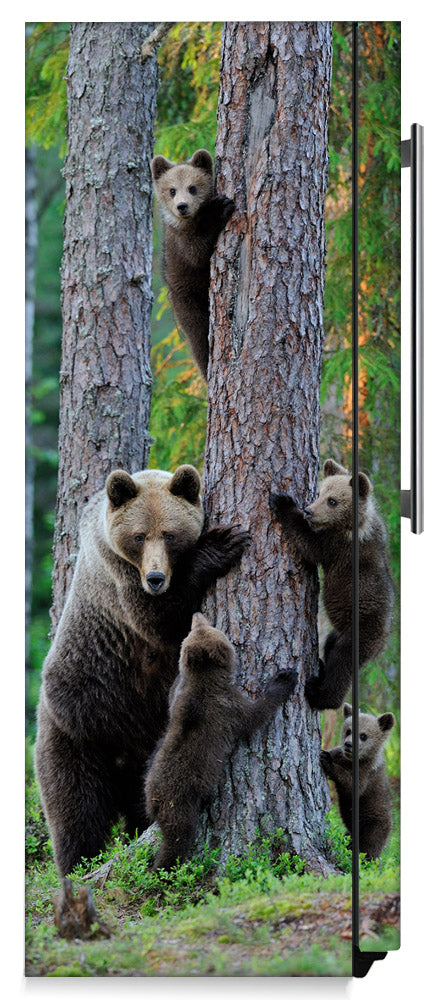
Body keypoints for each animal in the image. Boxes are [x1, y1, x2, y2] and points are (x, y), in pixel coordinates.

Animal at [35, 465, 250, 876]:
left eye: (169, 534)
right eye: (138, 536)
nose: (155, 578)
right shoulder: (119, 579)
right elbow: (160, 621)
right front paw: (222, 544)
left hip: (147, 752)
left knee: (138, 806)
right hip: (78, 728)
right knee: (75, 810)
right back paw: (77, 865)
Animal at [144, 613, 298, 870]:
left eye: (199, 627)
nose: (197, 614)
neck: (205, 679)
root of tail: (154, 801)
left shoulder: (179, 698)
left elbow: (172, 695)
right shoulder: (229, 708)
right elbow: (256, 715)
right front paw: (284, 678)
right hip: (180, 805)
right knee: (177, 839)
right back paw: (166, 867)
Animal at [151, 148, 234, 378]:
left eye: (193, 187)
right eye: (172, 190)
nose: (182, 206)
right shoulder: (181, 243)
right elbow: (197, 252)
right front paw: (219, 208)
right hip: (187, 300)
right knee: (199, 338)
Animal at [270, 459, 393, 710]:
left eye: (333, 500)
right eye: (320, 493)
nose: (308, 510)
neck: (354, 525)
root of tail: (383, 639)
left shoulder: (338, 547)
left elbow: (310, 545)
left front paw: (283, 502)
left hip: (360, 631)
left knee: (342, 665)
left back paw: (320, 694)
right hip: (339, 632)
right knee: (330, 646)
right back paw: (319, 667)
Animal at [320, 702, 395, 860]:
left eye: (363, 735)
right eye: (348, 730)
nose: (348, 744)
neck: (353, 761)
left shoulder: (366, 774)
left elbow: (352, 785)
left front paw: (326, 760)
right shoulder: (340, 754)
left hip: (374, 825)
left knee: (369, 850)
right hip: (351, 832)